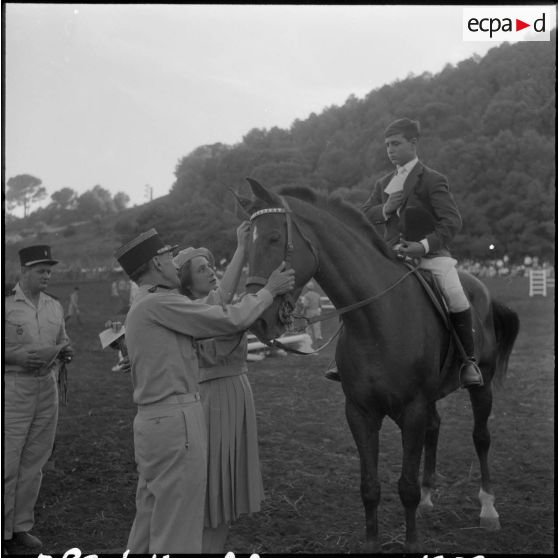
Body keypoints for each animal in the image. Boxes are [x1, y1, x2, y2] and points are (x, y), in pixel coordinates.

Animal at [238, 178, 524, 552]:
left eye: (274, 238)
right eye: (245, 245)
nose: (260, 320)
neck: (377, 319)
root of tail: (480, 287)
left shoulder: (412, 408)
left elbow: (406, 487)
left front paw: (413, 542)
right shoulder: (360, 412)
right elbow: (370, 487)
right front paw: (373, 541)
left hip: (482, 385)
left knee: (481, 437)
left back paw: (488, 509)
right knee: (435, 427)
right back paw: (431, 495)